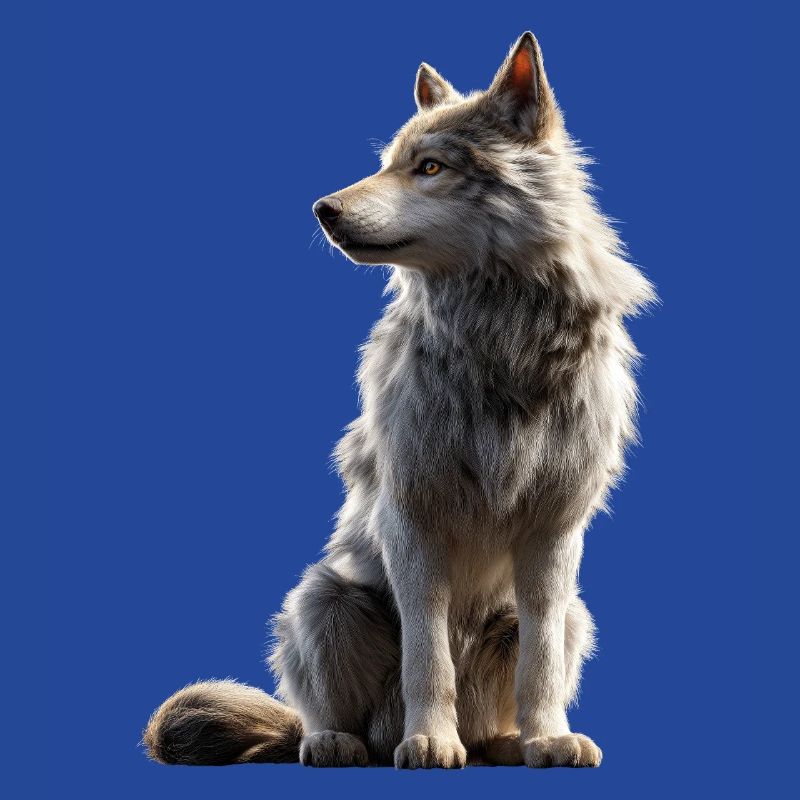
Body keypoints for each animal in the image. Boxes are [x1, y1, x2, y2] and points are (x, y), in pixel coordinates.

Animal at [144, 31, 655, 769]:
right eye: (387, 165)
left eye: (430, 167)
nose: (322, 210)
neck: (500, 338)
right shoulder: (411, 520)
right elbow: (427, 655)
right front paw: (430, 741)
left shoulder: (555, 531)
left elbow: (541, 665)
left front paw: (549, 738)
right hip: (323, 599)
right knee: (326, 715)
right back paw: (343, 741)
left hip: (574, 615)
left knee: (518, 685)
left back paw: (505, 742)